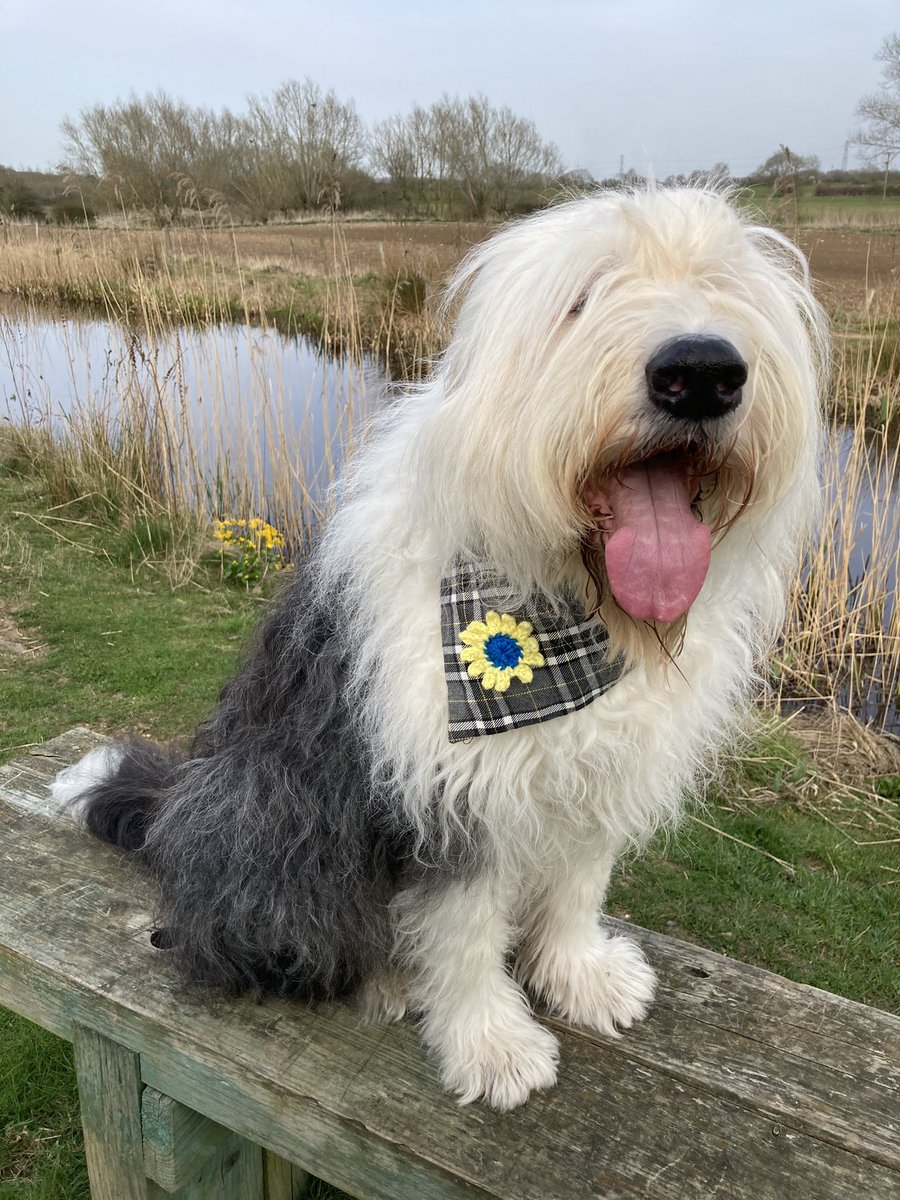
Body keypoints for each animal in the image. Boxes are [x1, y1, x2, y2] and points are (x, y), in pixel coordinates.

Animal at [51, 182, 825, 1108]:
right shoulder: (450, 794)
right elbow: (462, 933)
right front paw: (492, 1046)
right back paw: (383, 977)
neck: (570, 605)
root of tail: (175, 806)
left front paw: (582, 978)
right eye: (583, 296)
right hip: (274, 821)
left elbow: (576, 886)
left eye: (723, 289)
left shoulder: (598, 774)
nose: (703, 371)